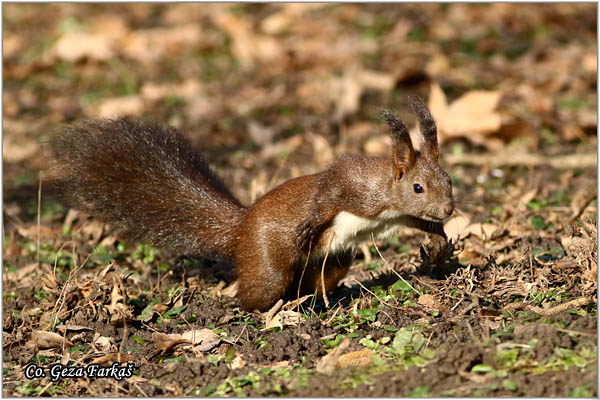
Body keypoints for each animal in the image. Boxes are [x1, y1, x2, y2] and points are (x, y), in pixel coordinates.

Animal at [49, 95, 452, 310]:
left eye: (448, 180)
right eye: (418, 187)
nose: (449, 209)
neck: (387, 196)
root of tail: (239, 229)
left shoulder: (396, 215)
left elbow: (420, 224)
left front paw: (439, 241)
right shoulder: (350, 186)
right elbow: (324, 198)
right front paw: (308, 223)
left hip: (334, 260)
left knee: (315, 280)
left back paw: (313, 301)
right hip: (268, 264)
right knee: (255, 292)